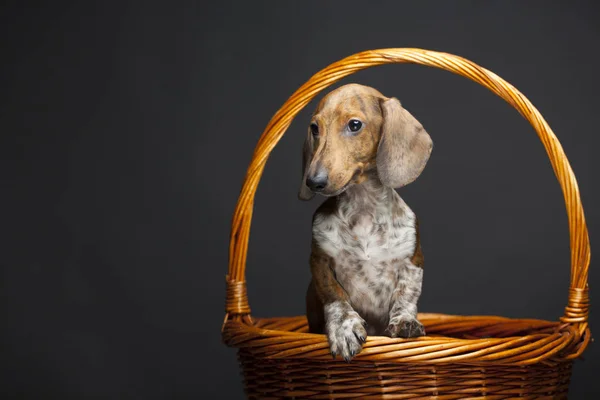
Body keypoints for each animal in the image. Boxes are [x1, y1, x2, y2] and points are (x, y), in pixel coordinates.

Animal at [298, 83, 432, 360]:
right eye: (315, 128)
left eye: (354, 125)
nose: (313, 181)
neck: (364, 208)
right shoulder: (319, 261)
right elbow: (335, 297)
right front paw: (344, 328)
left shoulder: (412, 261)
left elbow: (406, 294)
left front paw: (404, 321)